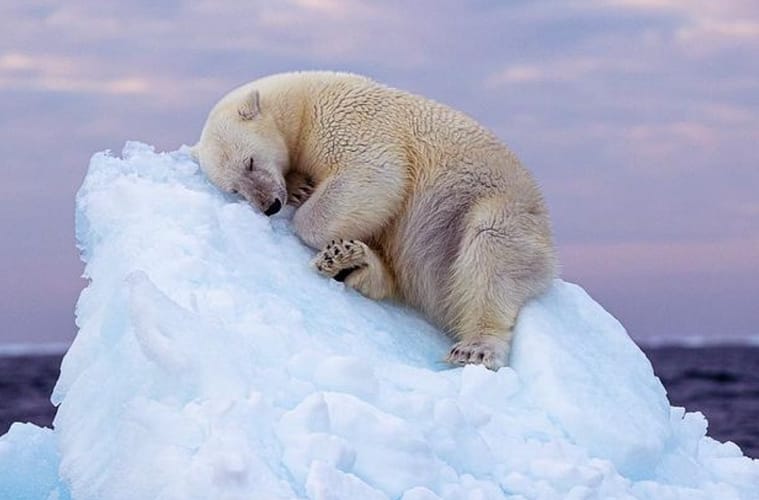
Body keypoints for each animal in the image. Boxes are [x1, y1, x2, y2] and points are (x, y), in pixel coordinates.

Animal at [192, 71, 557, 370]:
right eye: (235, 189)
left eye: (250, 162)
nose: (269, 205)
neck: (302, 103)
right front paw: (300, 188)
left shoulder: (347, 120)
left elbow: (375, 174)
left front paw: (305, 209)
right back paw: (349, 261)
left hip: (493, 207)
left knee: (490, 253)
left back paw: (475, 348)